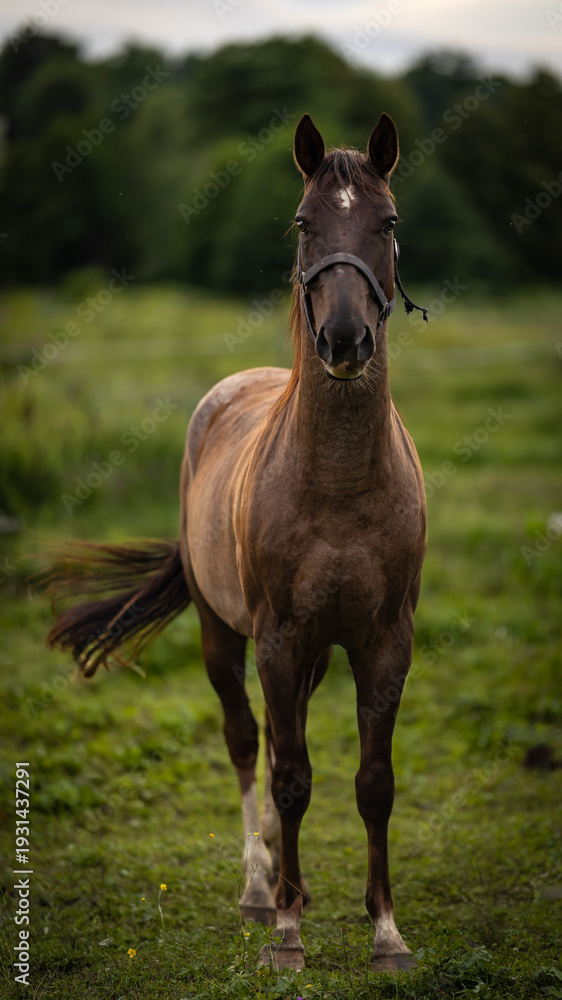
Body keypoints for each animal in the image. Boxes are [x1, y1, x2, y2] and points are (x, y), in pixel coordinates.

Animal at [46, 112, 427, 972]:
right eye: (304, 222)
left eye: (388, 222)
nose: (345, 340)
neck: (340, 483)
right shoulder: (277, 639)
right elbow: (288, 776)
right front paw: (285, 931)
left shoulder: (383, 642)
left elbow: (374, 781)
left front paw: (386, 930)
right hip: (225, 637)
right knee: (249, 742)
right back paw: (262, 886)